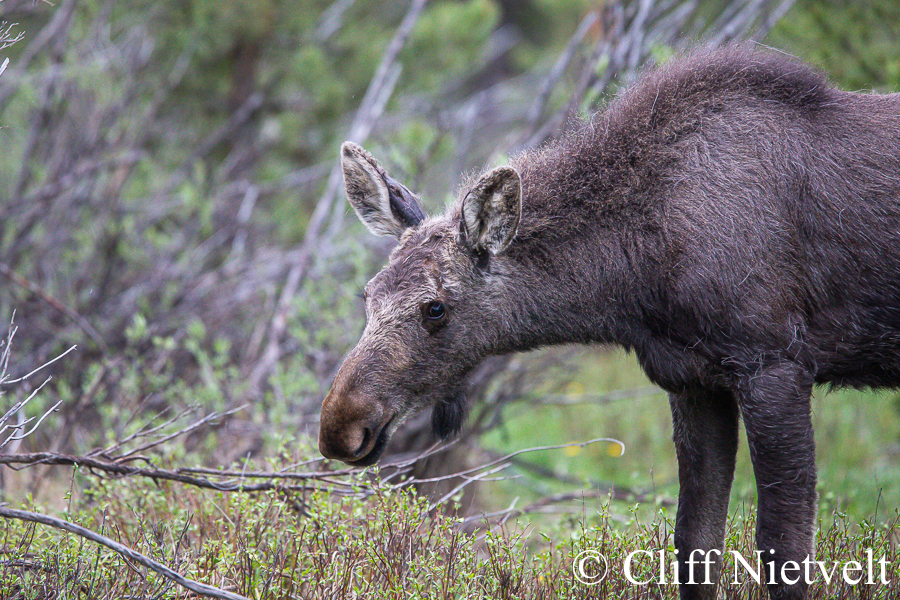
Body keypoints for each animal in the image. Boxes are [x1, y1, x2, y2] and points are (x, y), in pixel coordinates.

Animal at [318, 44, 900, 600]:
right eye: (368, 294)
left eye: (435, 307)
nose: (340, 425)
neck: (635, 278)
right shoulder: (694, 380)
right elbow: (695, 546)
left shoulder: (774, 364)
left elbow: (784, 554)